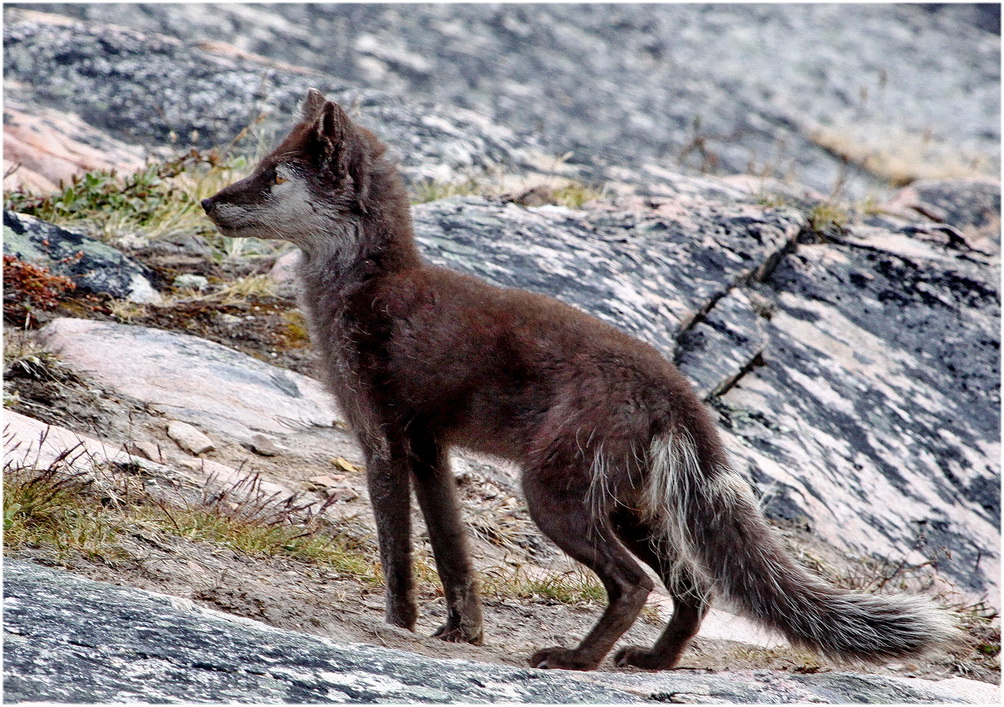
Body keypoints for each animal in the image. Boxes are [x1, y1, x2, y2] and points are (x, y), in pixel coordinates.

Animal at [201, 91, 955, 670]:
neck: (368, 286)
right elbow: (454, 553)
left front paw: (399, 626)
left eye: (275, 175)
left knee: (635, 585)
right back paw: (650, 662)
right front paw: (461, 633)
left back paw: (574, 660)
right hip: (632, 505)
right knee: (695, 588)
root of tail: (680, 395)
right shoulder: (430, 447)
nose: (209, 203)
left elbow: (397, 553)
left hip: (555, 494)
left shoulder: (380, 436)